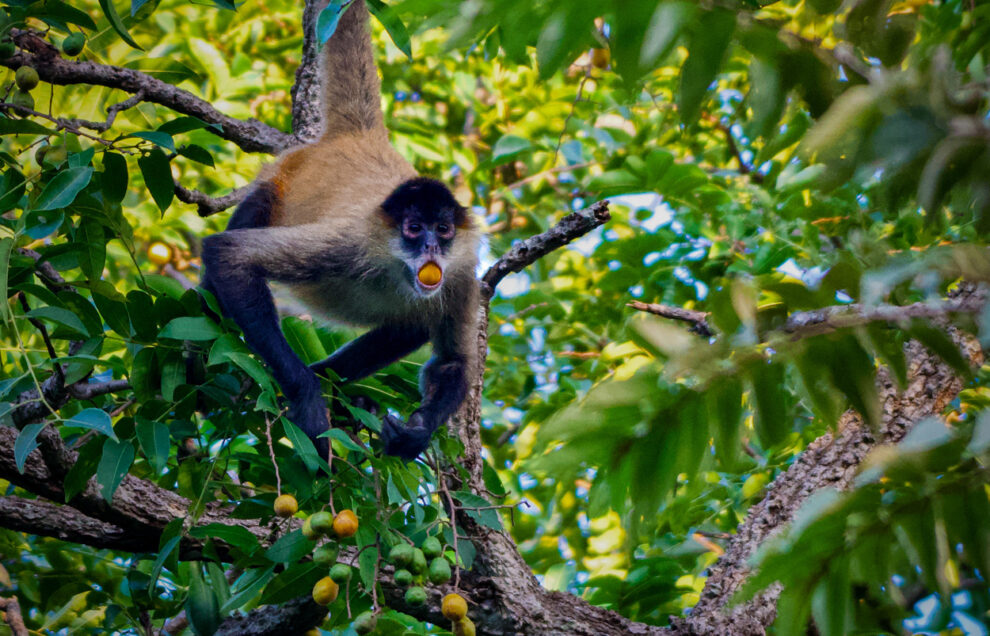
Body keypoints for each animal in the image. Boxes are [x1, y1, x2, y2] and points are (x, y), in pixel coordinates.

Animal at [202, 0, 480, 460]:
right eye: (413, 228)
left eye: (442, 229)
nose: (430, 248)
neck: (396, 269)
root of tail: (360, 137)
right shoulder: (348, 244)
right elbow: (229, 256)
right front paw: (307, 396)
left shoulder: (461, 273)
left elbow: (451, 362)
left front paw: (416, 432)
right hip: (279, 182)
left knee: (413, 323)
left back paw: (336, 383)